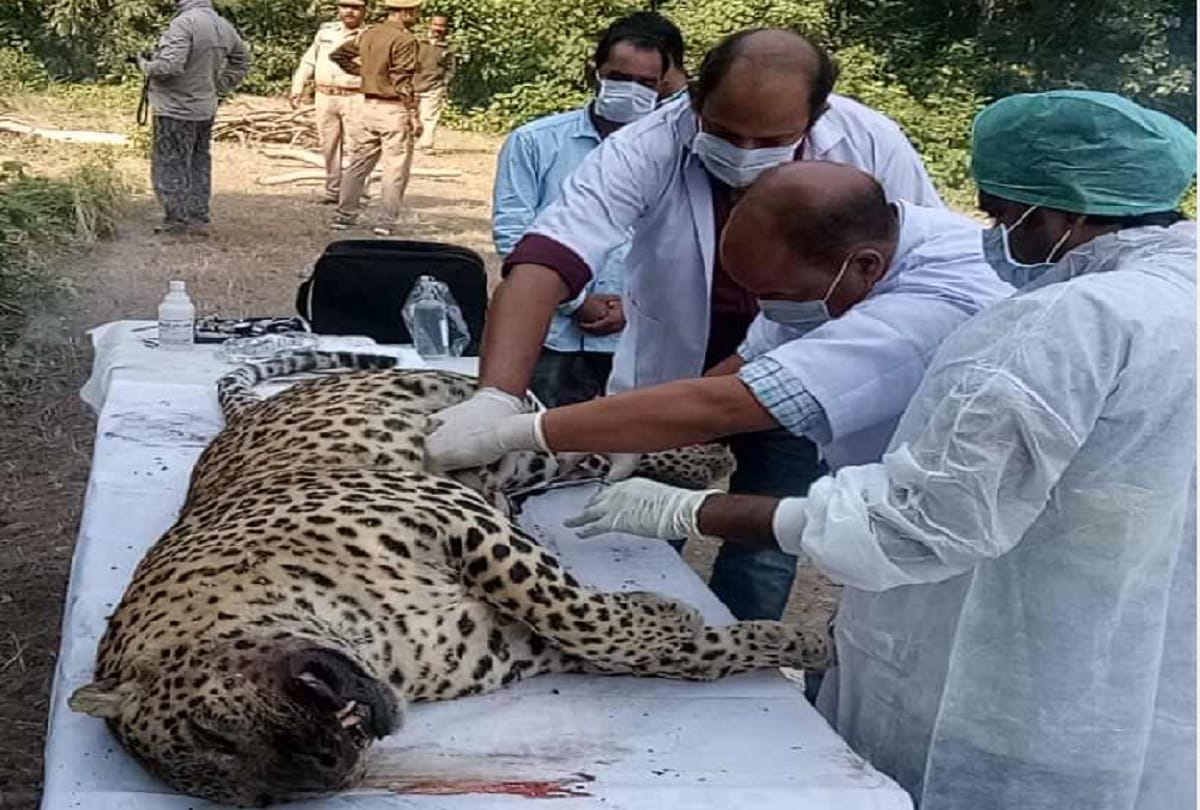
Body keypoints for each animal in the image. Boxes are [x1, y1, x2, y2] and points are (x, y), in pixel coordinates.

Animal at [70, 352, 833, 807]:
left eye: (213, 733)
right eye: (260, 796)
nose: (328, 763)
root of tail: (250, 409)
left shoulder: (455, 516)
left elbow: (574, 609)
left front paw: (663, 615)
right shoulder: (518, 643)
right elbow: (693, 655)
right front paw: (797, 645)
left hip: (469, 415)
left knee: (562, 429)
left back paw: (699, 458)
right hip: (520, 469)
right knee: (576, 456)